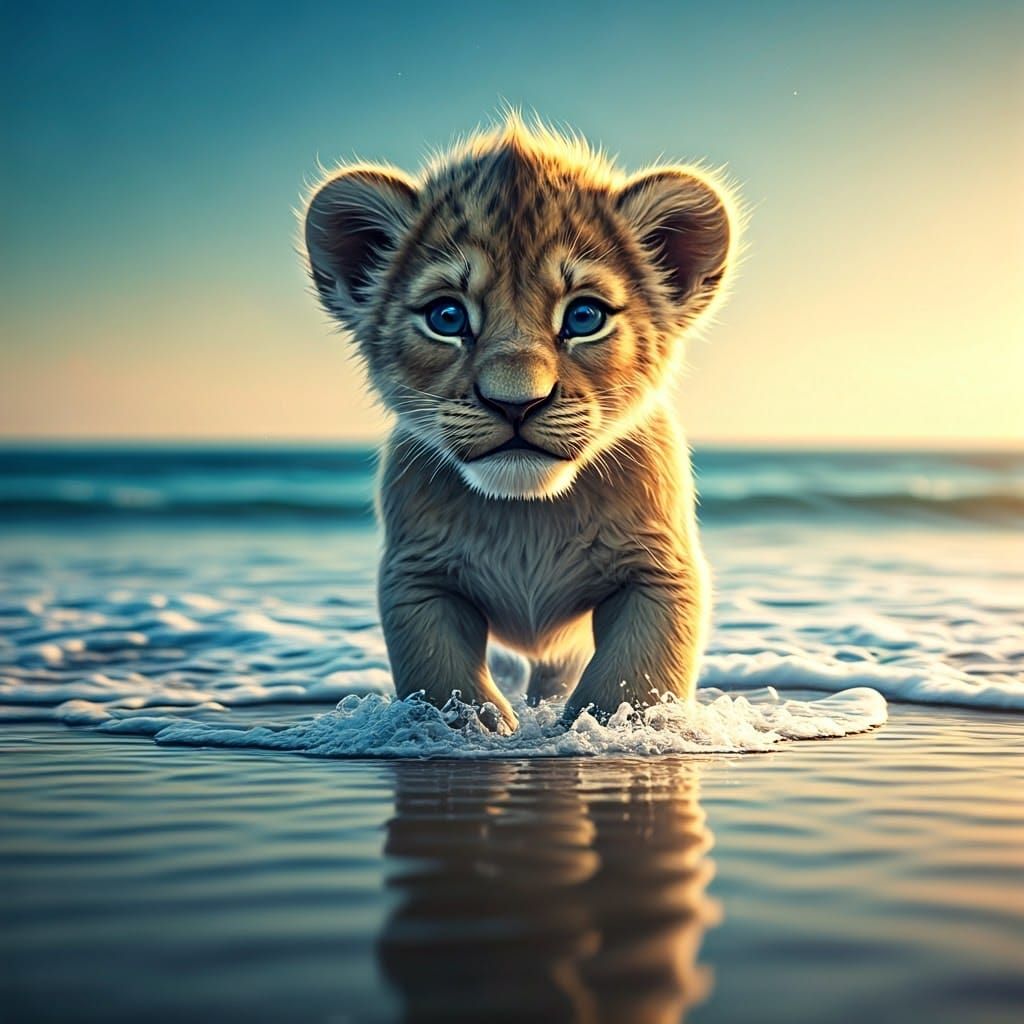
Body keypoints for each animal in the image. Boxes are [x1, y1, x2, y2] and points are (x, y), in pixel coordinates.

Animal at [303, 114, 740, 732]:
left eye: (584, 316)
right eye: (447, 316)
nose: (515, 404)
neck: (527, 516)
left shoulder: (660, 571)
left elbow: (632, 677)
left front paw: (604, 731)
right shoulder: (416, 577)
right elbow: (442, 675)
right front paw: (476, 729)